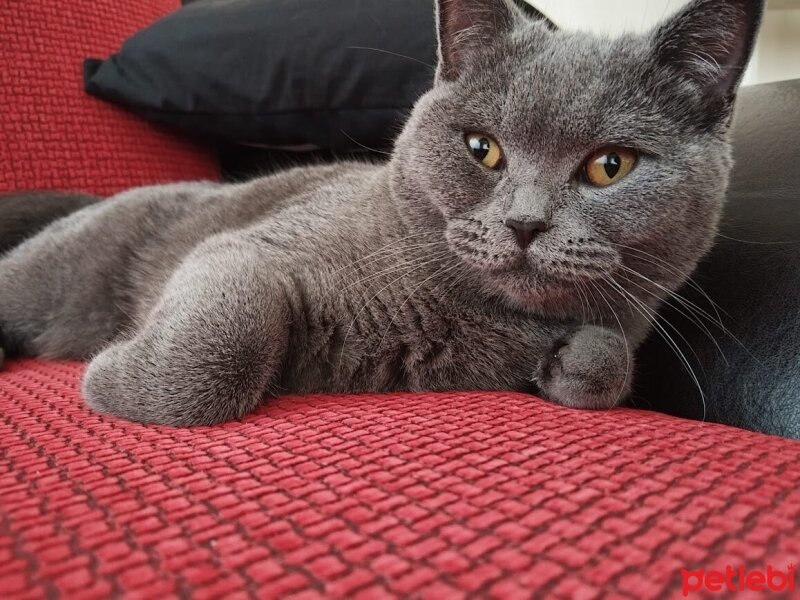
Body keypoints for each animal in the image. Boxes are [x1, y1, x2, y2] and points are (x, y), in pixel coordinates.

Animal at [0, 0, 764, 426]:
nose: (524, 224)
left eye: (610, 165)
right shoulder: (247, 250)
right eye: (482, 149)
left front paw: (574, 362)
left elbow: (608, 356)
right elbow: (218, 350)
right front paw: (111, 377)